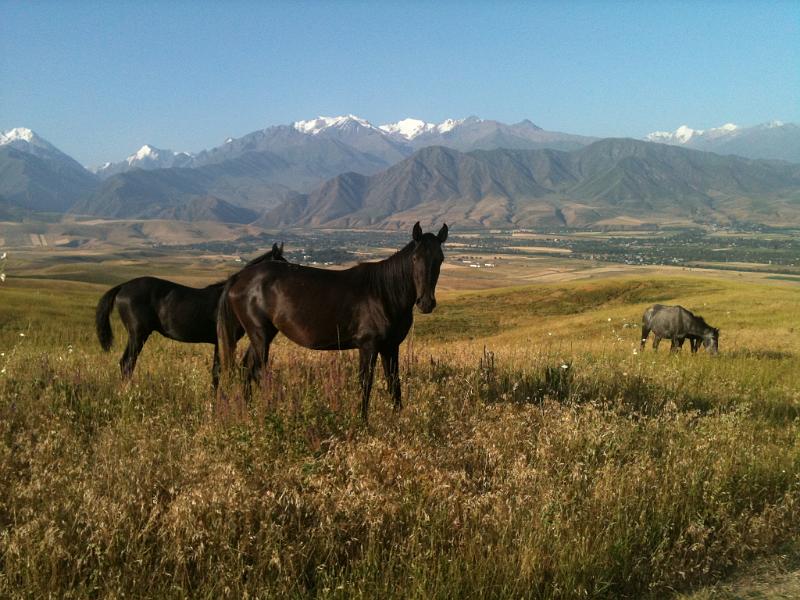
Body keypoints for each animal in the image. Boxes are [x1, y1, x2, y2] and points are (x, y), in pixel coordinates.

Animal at [95, 243, 288, 386]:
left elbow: (216, 372)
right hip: (137, 334)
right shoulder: (222, 339)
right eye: (282, 264)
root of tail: (123, 286)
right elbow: (218, 372)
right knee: (126, 363)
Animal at [216, 221, 446, 422]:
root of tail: (239, 277)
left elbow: (394, 383)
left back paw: (249, 411)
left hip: (264, 333)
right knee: (258, 370)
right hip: (260, 334)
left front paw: (398, 419)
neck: (384, 293)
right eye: (415, 258)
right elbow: (366, 383)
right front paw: (363, 421)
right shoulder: (368, 346)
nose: (426, 303)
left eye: (440, 259)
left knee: (247, 368)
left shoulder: (390, 347)